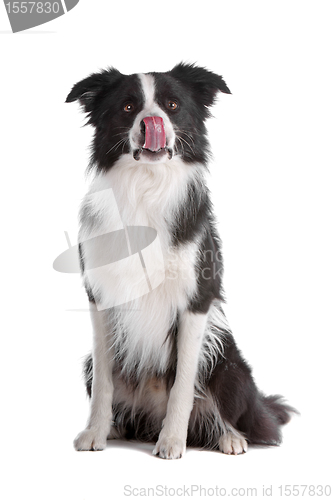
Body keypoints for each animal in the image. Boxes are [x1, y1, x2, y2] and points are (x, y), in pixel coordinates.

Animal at [65, 63, 294, 460]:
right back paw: (118, 428)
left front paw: (172, 441)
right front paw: (95, 432)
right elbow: (104, 385)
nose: (152, 121)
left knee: (229, 411)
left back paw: (230, 437)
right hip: (88, 364)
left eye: (172, 105)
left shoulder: (196, 301)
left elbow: (183, 384)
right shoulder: (100, 300)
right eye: (128, 107)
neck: (146, 186)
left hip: (230, 363)